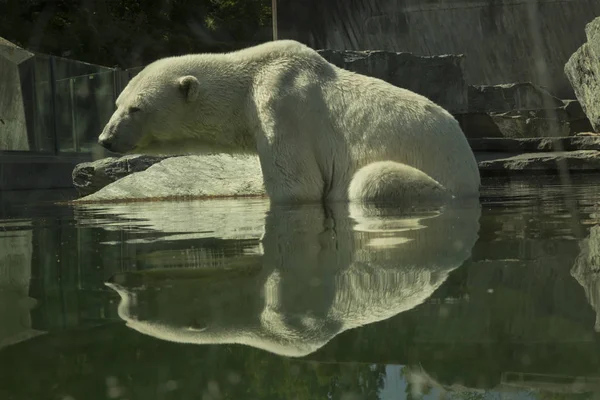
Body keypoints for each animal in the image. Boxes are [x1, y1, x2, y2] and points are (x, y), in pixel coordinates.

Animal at [99, 39, 482, 203]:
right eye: (117, 103)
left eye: (136, 108)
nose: (105, 138)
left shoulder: (281, 107)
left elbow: (298, 184)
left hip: (436, 182)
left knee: (373, 180)